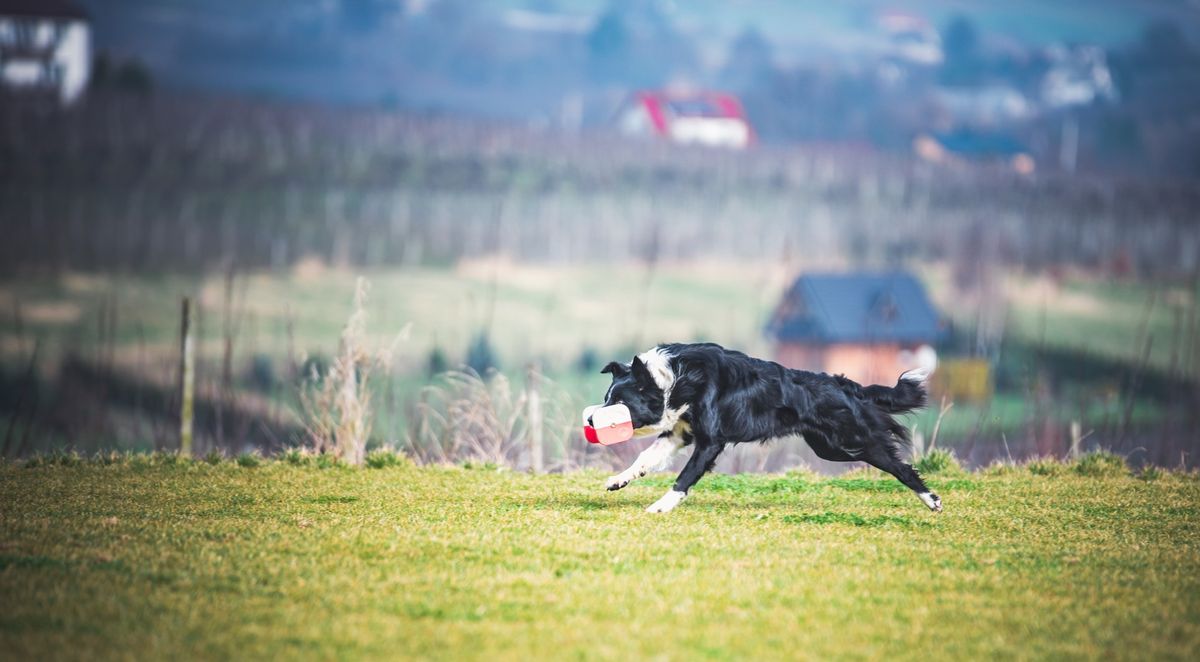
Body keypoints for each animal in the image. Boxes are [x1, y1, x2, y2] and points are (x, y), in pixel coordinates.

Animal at [595, 342, 940, 515]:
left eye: (619, 403)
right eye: (606, 398)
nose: (588, 421)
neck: (676, 379)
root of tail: (848, 386)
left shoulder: (711, 441)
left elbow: (685, 476)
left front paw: (661, 506)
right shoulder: (680, 432)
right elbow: (645, 459)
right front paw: (618, 480)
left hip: (850, 440)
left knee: (900, 466)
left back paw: (932, 500)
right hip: (829, 448)